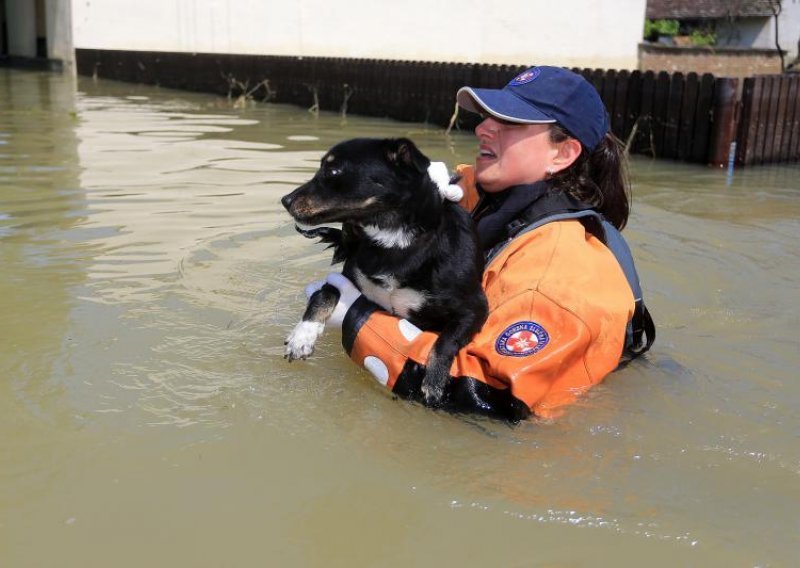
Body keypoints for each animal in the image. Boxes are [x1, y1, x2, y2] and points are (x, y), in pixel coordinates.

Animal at [282, 135, 494, 406]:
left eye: (333, 171)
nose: (285, 200)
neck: (393, 241)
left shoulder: (475, 308)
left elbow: (446, 340)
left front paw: (434, 380)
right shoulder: (346, 278)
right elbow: (324, 294)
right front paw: (302, 335)